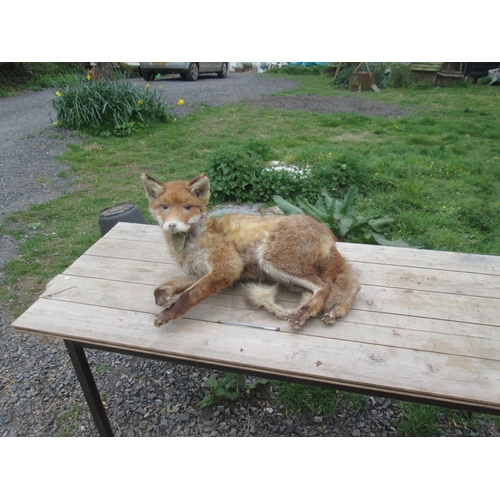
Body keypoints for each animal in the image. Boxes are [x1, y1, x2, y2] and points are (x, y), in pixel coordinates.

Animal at [141, 174, 360, 330]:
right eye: (164, 207)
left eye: (187, 207)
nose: (172, 225)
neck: (189, 244)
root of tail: (328, 232)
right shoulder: (198, 272)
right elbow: (160, 288)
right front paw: (163, 299)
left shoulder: (228, 267)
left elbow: (189, 295)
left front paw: (169, 313)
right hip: (288, 277)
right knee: (350, 285)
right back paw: (332, 311)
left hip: (272, 260)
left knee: (325, 287)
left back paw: (305, 314)